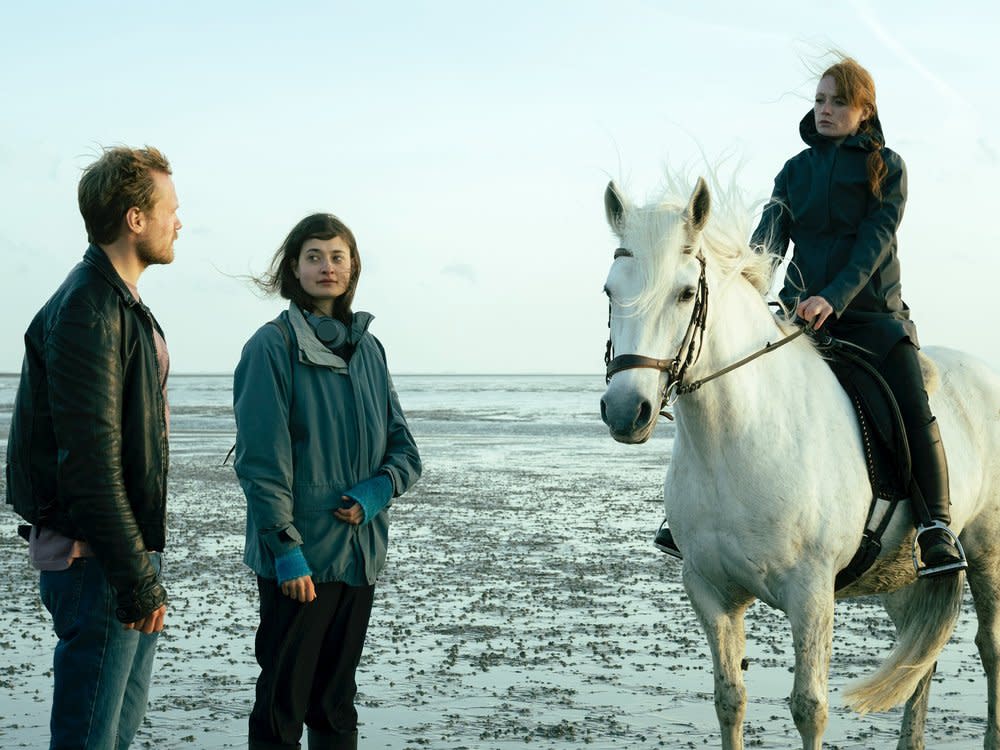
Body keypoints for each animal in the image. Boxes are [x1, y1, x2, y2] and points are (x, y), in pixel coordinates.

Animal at [596, 172, 1000, 750]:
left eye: (685, 293)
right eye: (611, 291)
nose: (626, 410)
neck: (736, 441)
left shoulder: (811, 594)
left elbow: (809, 706)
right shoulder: (711, 592)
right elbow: (729, 699)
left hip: (986, 550)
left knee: (990, 648)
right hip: (903, 576)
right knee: (918, 663)